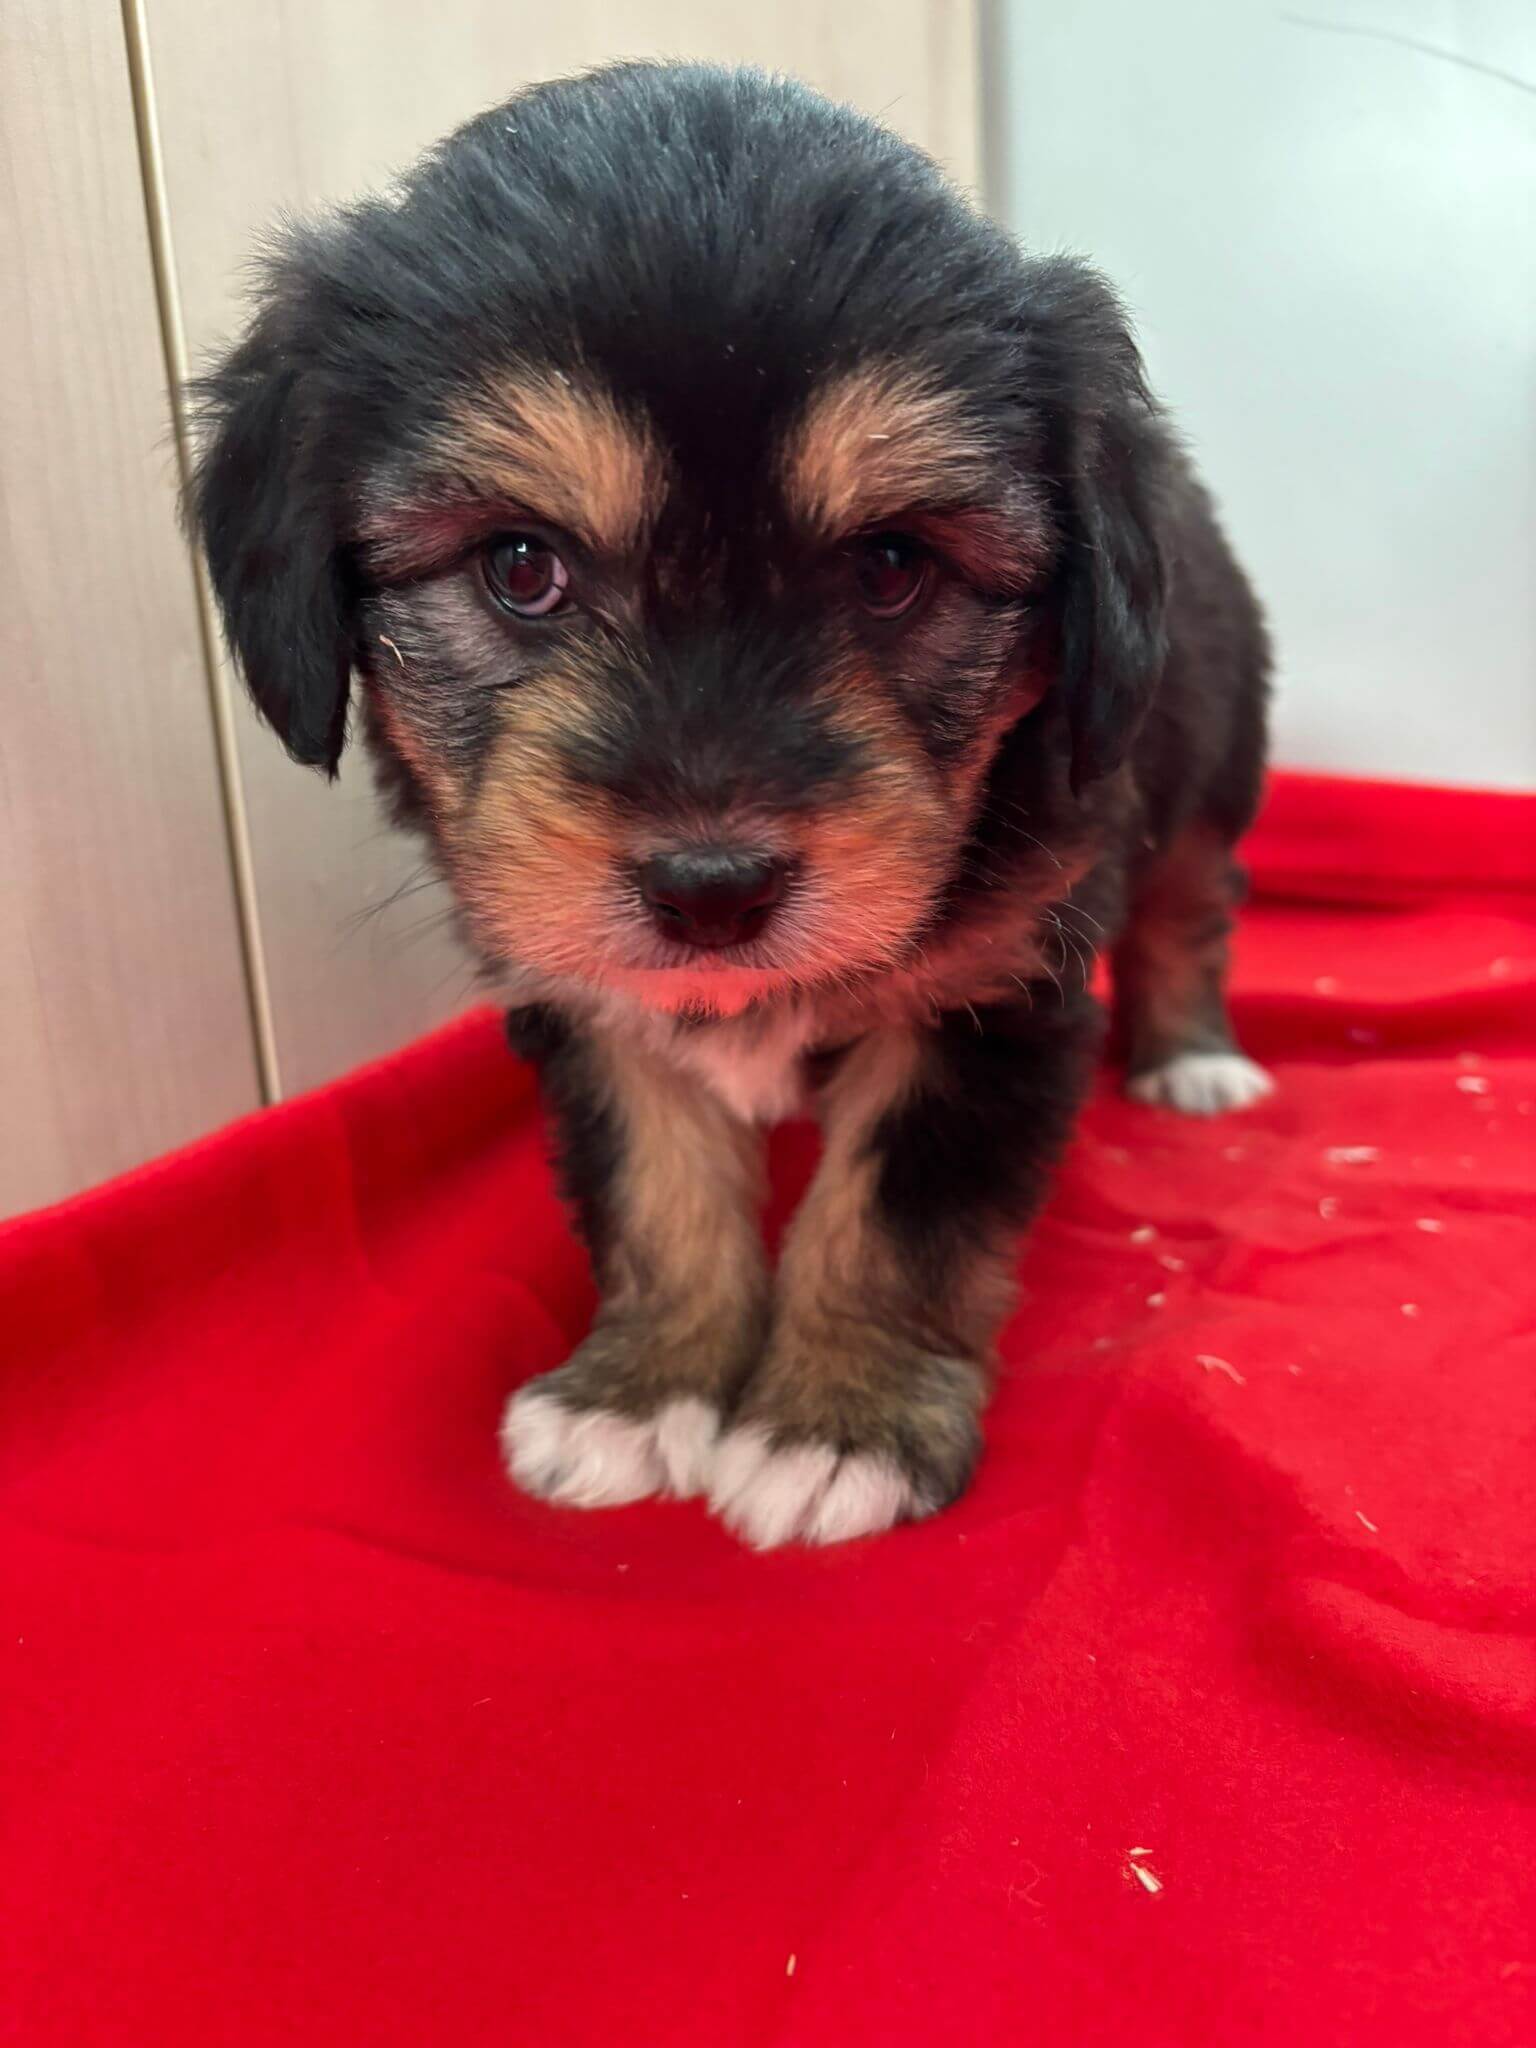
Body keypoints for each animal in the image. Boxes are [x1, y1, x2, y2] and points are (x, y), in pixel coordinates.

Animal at [189, 62, 1272, 1548]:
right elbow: (657, 1194)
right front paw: (643, 1390)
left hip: (1207, 758)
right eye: (519, 566)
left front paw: (838, 1421)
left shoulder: (994, 986)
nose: (712, 889)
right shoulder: (592, 997)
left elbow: (896, 1213)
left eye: (892, 567)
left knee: (1189, 906)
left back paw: (1190, 1058)